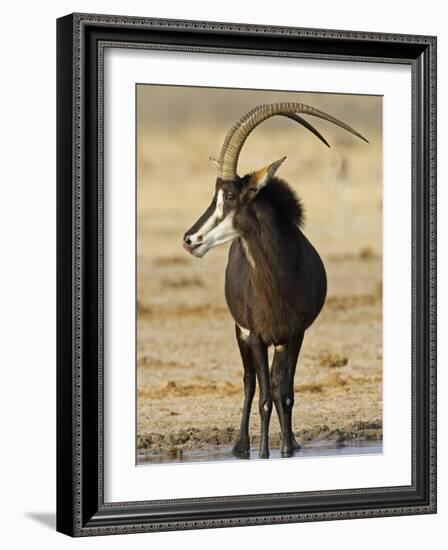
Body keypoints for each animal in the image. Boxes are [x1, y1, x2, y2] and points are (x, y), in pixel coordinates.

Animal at [182, 104, 368, 462]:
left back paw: (289, 440)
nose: (189, 239)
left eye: (229, 195)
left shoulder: (293, 336)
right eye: (214, 196)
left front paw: (286, 449)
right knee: (250, 383)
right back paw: (241, 446)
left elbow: (285, 394)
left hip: (279, 341)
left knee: (279, 384)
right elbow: (264, 396)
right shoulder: (255, 336)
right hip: (241, 334)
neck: (277, 279)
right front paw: (264, 453)